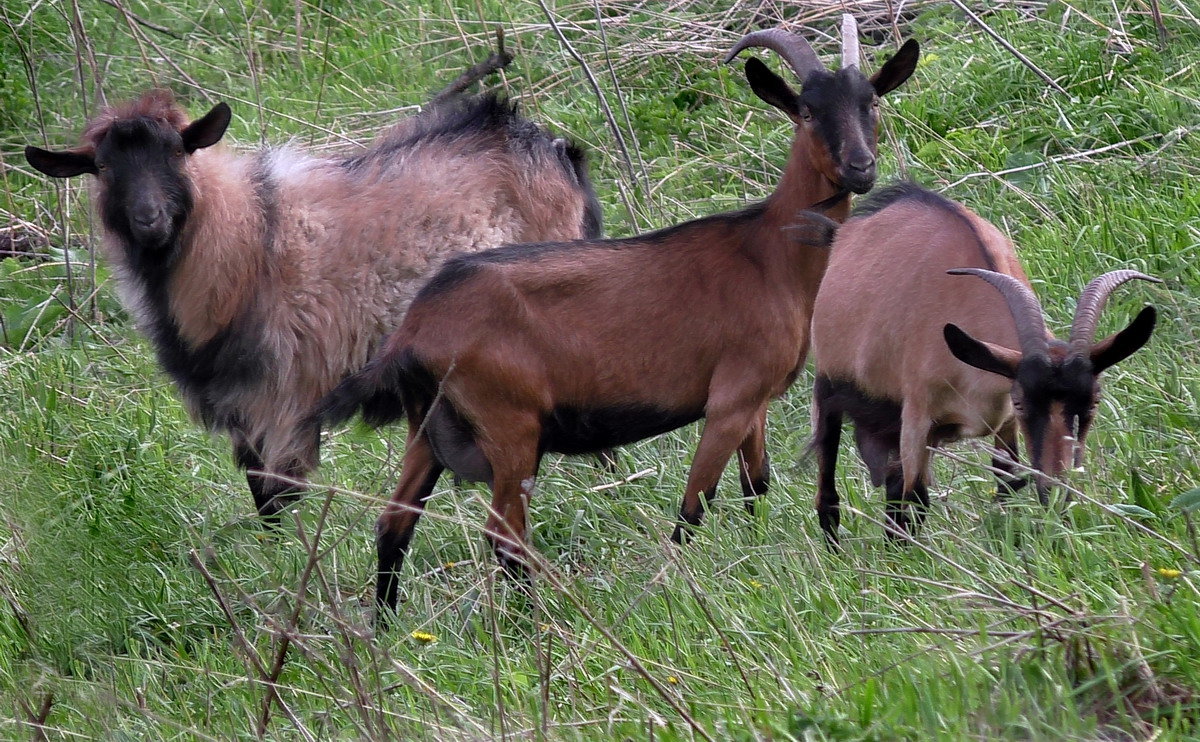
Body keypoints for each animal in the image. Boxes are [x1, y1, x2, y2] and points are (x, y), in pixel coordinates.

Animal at [25, 89, 609, 516]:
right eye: (103, 168)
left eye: (177, 152)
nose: (149, 220)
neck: (248, 242)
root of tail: (554, 150)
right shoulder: (242, 409)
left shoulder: (282, 398)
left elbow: (277, 499)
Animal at [316, 23, 916, 612]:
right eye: (808, 110)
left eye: (871, 102)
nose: (860, 167)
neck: (769, 253)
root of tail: (416, 326)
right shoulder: (730, 399)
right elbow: (693, 506)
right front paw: (676, 593)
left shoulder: (756, 401)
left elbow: (757, 486)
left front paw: (759, 560)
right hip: (510, 425)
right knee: (503, 535)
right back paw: (535, 623)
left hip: (429, 431)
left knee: (394, 523)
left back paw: (386, 627)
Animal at [811, 183, 1156, 542]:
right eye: (1021, 402)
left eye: (1094, 401)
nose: (1056, 491)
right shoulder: (917, 416)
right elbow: (915, 501)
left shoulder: (1003, 422)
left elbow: (1007, 483)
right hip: (830, 386)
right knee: (830, 487)